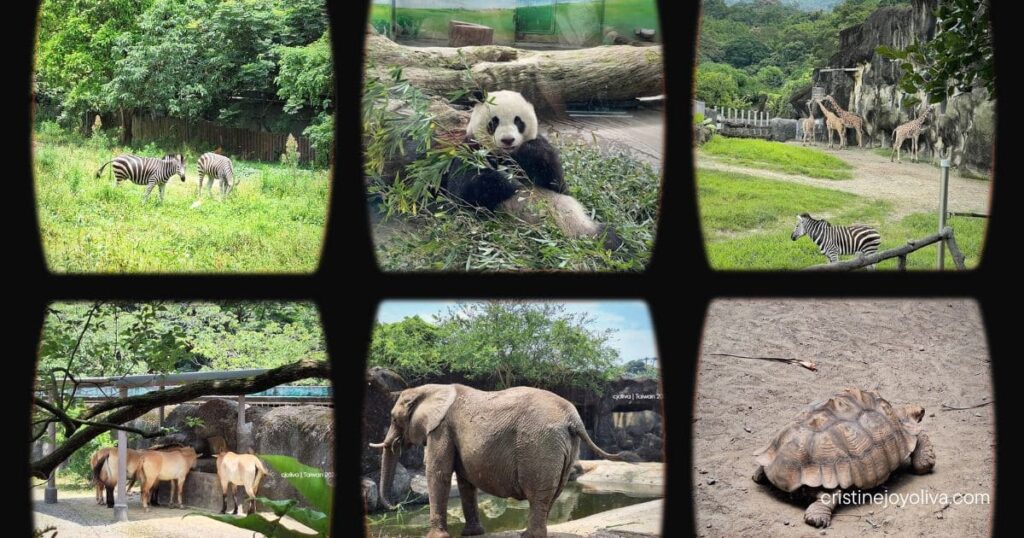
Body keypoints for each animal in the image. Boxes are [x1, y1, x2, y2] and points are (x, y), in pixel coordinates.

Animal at [369, 383, 628, 538]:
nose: (396, 506)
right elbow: (464, 482)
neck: (430, 389)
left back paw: (528, 536)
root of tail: (574, 419)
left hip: (539, 445)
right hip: (564, 446)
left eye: (393, 419)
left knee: (539, 494)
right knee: (553, 492)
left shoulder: (441, 429)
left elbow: (438, 474)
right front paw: (471, 534)